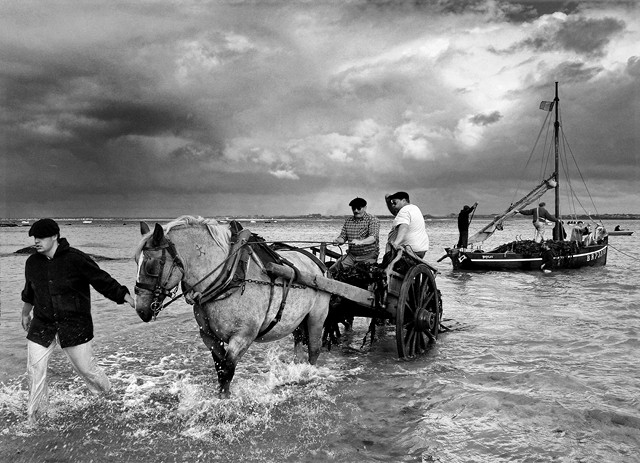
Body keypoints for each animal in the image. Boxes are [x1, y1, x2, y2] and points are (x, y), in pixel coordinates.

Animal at [132, 216, 328, 396]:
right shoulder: (209, 336)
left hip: (316, 317)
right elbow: (220, 369)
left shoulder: (243, 336)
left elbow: (227, 370)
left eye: (150, 265)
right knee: (299, 343)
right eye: (135, 261)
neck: (230, 277)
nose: (141, 310)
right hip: (298, 319)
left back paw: (309, 373)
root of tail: (319, 264)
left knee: (314, 348)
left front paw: (224, 400)